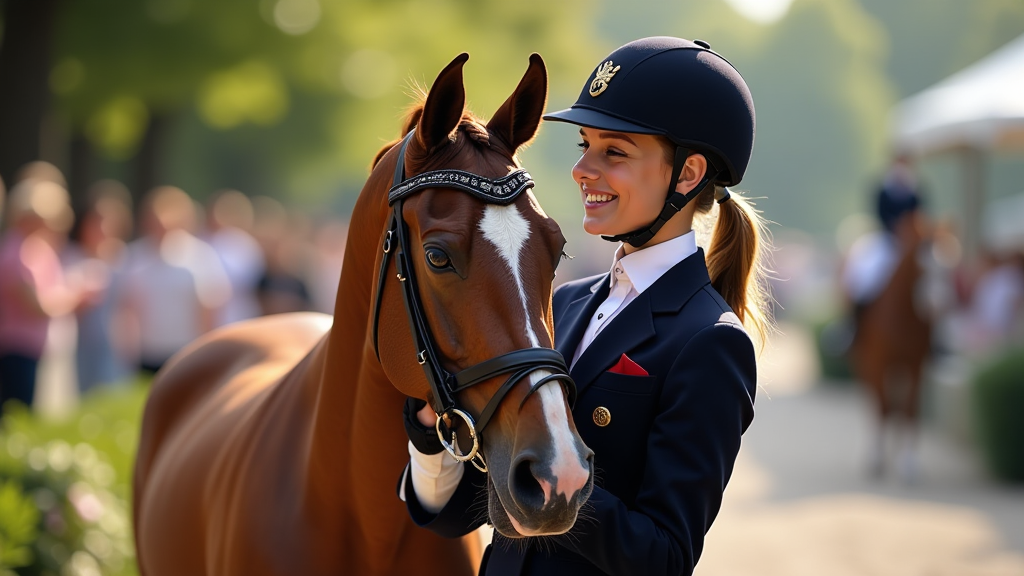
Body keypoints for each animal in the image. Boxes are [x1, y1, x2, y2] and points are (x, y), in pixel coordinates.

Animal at [847, 211, 937, 479]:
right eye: (921, 264)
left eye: (951, 260)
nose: (935, 304)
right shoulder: (878, 361)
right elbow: (883, 407)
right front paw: (877, 460)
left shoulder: (916, 364)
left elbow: (910, 410)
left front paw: (909, 463)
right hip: (867, 363)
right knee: (877, 400)